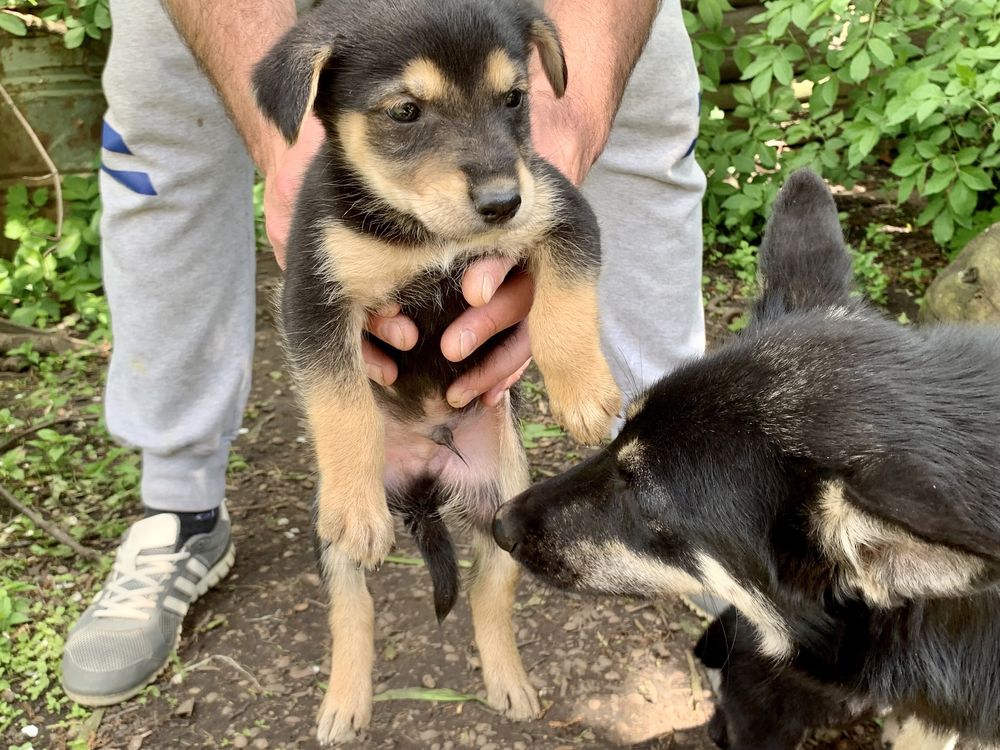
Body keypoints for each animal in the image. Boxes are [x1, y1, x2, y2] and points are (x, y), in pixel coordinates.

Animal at [254, 0, 620, 748]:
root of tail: (425, 476)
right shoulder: (312, 296)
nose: (503, 202)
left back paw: (508, 683)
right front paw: (357, 501)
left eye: (514, 99)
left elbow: (566, 305)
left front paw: (584, 395)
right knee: (352, 611)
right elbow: (340, 403)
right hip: (332, 547)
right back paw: (344, 704)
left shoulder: (562, 216)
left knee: (488, 598)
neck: (422, 233)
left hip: (502, 508)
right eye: (405, 112)